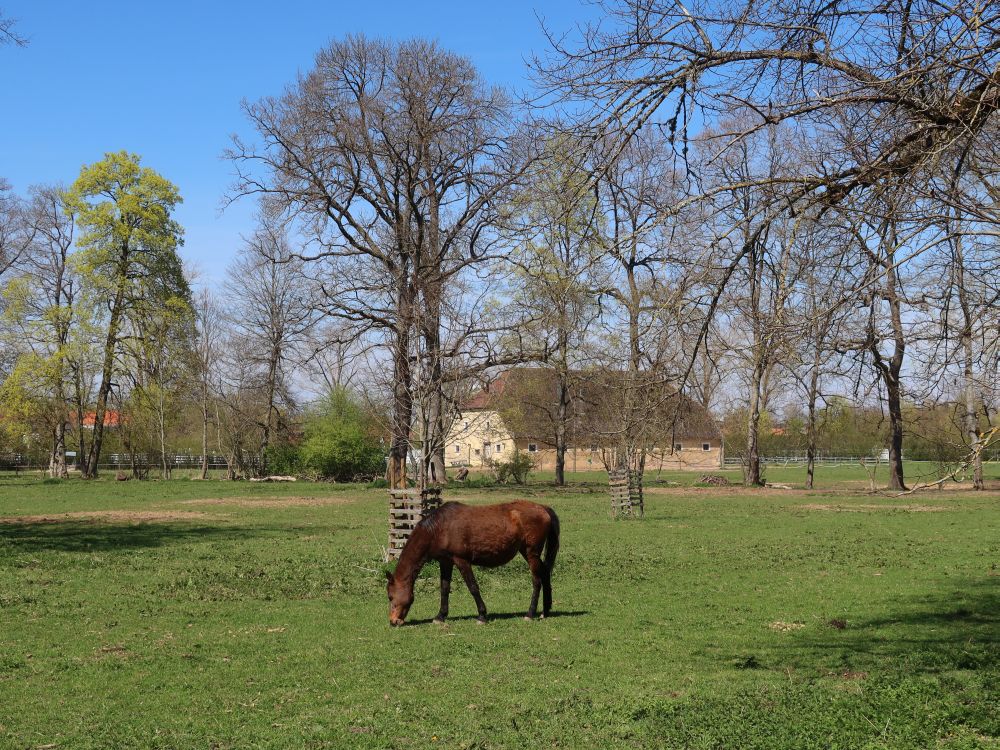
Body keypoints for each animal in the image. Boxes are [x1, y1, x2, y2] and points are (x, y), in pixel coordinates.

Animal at [384, 506, 560, 628]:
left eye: (390, 597)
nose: (393, 621)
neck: (439, 528)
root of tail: (543, 508)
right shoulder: (446, 562)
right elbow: (444, 589)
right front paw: (440, 616)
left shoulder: (462, 561)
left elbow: (473, 587)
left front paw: (482, 616)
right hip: (529, 554)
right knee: (545, 574)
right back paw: (545, 611)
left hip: (531, 554)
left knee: (537, 581)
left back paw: (530, 613)